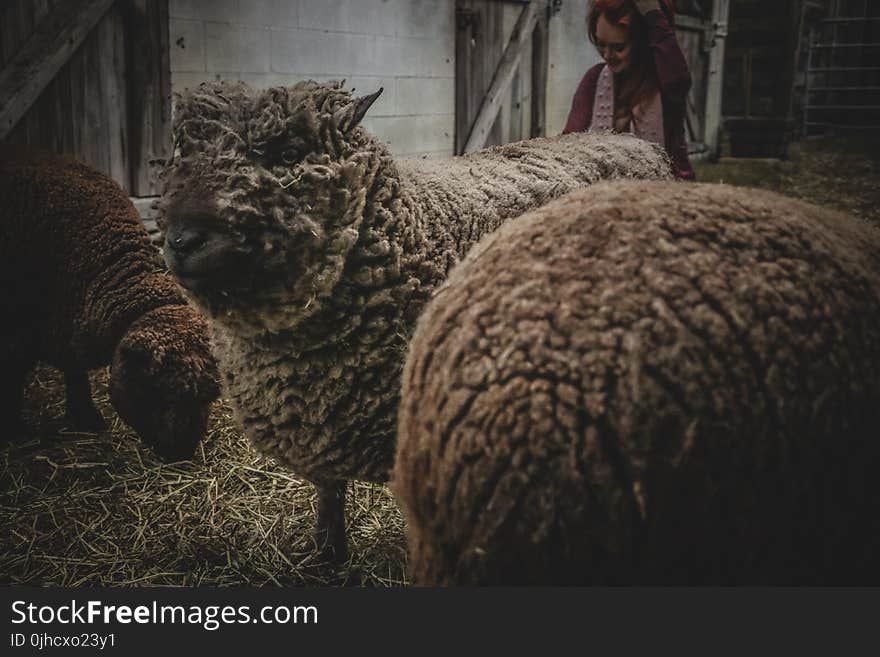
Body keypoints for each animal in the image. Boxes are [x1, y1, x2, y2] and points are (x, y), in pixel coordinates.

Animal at [0, 150, 220, 462]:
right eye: (161, 390)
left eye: (209, 396)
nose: (182, 452)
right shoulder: (17, 334)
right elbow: (13, 376)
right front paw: (14, 430)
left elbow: (74, 367)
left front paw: (85, 416)